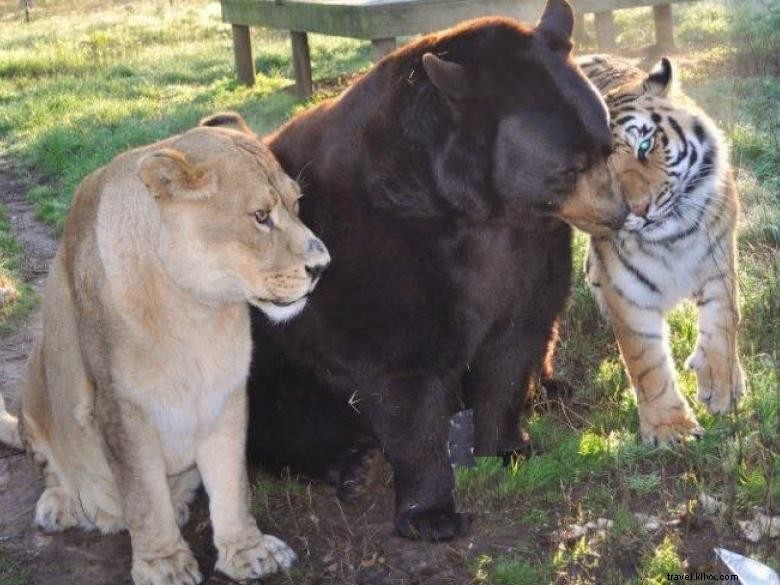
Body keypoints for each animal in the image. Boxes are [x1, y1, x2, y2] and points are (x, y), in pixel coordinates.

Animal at [580, 54, 744, 444]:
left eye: (644, 146)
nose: (639, 210)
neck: (673, 239)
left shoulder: (719, 261)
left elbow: (723, 323)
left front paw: (722, 387)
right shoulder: (629, 294)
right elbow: (647, 363)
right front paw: (671, 429)